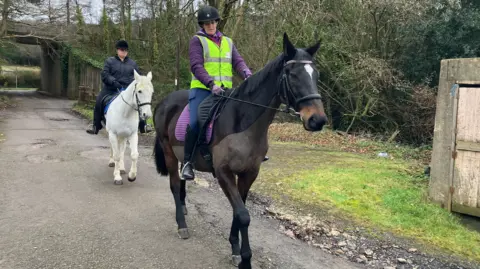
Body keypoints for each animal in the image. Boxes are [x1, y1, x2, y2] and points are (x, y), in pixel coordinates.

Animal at [153, 32, 326, 266]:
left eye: (315, 75)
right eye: (292, 75)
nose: (318, 120)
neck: (243, 123)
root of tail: (164, 102)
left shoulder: (249, 173)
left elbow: (239, 210)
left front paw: (235, 248)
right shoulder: (223, 173)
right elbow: (243, 215)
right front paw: (245, 259)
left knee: (181, 184)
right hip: (169, 153)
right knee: (173, 185)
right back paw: (182, 225)